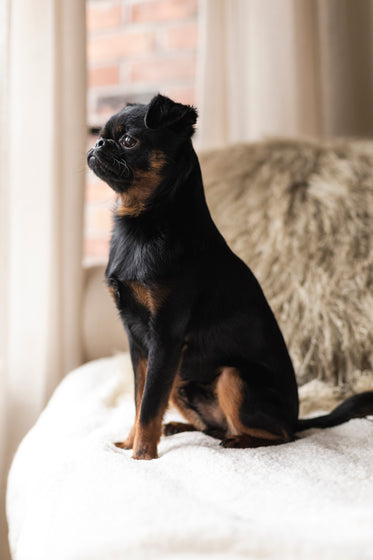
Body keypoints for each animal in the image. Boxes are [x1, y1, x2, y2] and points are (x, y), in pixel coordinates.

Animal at [88, 95, 372, 460]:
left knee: (280, 435)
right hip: (181, 380)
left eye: (128, 141)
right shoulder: (139, 345)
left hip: (231, 376)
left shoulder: (164, 340)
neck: (141, 223)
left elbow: (149, 404)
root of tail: (296, 417)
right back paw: (180, 427)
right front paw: (130, 442)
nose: (98, 144)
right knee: (215, 425)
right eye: (103, 136)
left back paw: (240, 441)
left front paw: (142, 456)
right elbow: (139, 401)